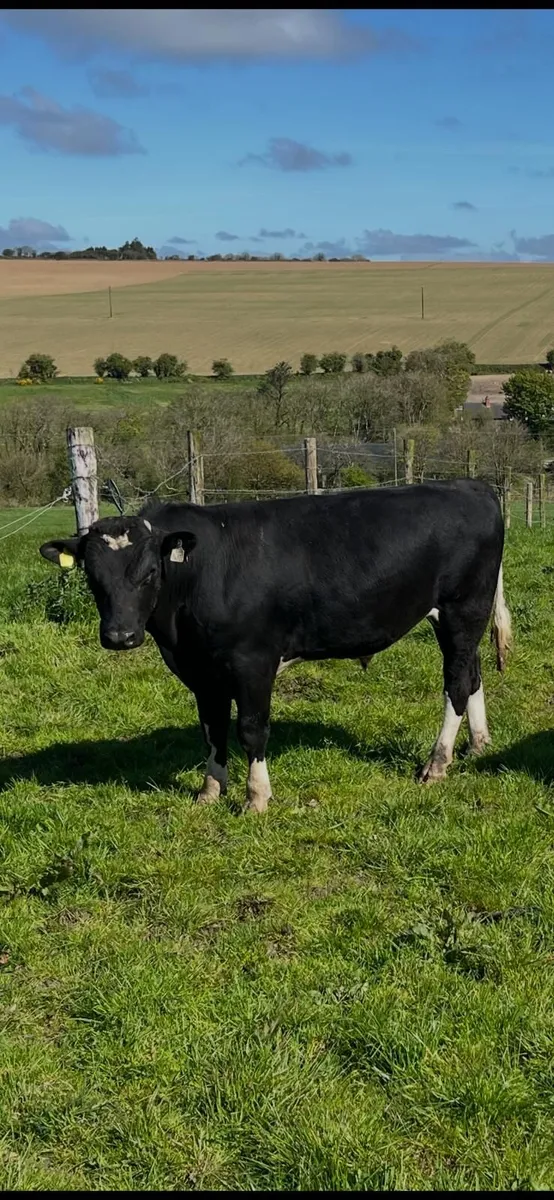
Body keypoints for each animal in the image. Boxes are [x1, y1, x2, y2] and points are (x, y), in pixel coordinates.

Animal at [39, 480, 511, 813]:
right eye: (91, 575)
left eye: (150, 571)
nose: (119, 636)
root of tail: (471, 485)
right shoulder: (201, 671)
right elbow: (212, 728)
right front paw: (210, 790)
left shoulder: (253, 661)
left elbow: (251, 728)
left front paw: (256, 798)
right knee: (471, 675)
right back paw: (477, 743)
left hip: (462, 609)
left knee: (455, 682)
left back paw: (437, 763)